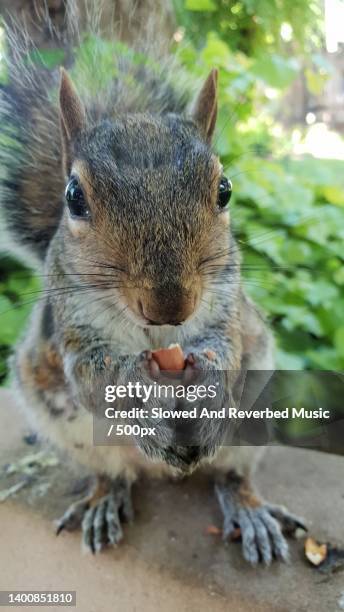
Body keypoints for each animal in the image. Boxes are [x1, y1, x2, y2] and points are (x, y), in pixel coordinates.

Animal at [0, 0, 304, 564]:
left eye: (225, 189)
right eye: (73, 197)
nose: (170, 306)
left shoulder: (224, 304)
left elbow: (225, 348)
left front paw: (207, 380)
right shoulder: (72, 327)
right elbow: (93, 375)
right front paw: (136, 386)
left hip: (252, 420)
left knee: (231, 474)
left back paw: (248, 509)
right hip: (72, 432)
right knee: (113, 474)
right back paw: (105, 499)